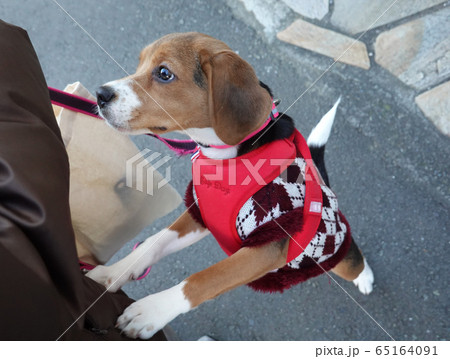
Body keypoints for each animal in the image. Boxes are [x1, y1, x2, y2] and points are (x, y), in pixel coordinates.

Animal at [86, 33, 374, 340]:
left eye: (164, 73)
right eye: (140, 62)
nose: (100, 94)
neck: (230, 156)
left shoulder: (266, 248)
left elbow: (202, 280)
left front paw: (151, 311)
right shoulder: (200, 215)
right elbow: (152, 243)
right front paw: (111, 273)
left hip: (334, 252)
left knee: (354, 260)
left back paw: (365, 277)